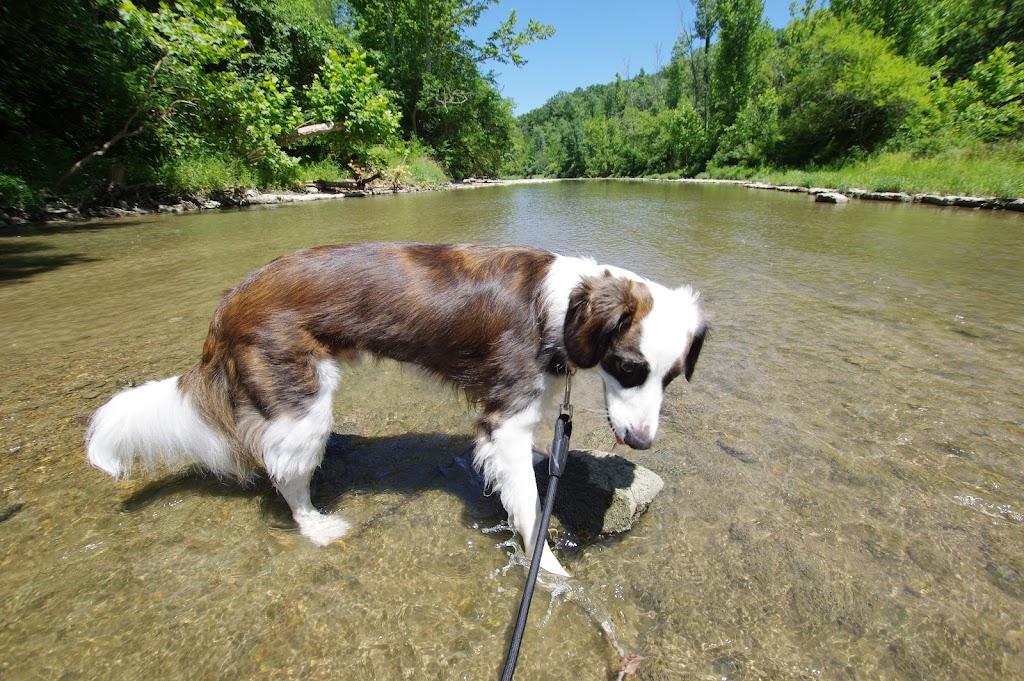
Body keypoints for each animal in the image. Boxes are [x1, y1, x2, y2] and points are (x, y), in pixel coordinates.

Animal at [86, 241, 704, 577]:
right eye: (629, 368)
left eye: (672, 378)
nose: (644, 442)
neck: (561, 304)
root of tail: (227, 304)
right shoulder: (505, 419)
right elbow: (530, 506)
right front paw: (549, 572)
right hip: (303, 402)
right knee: (283, 473)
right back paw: (316, 525)